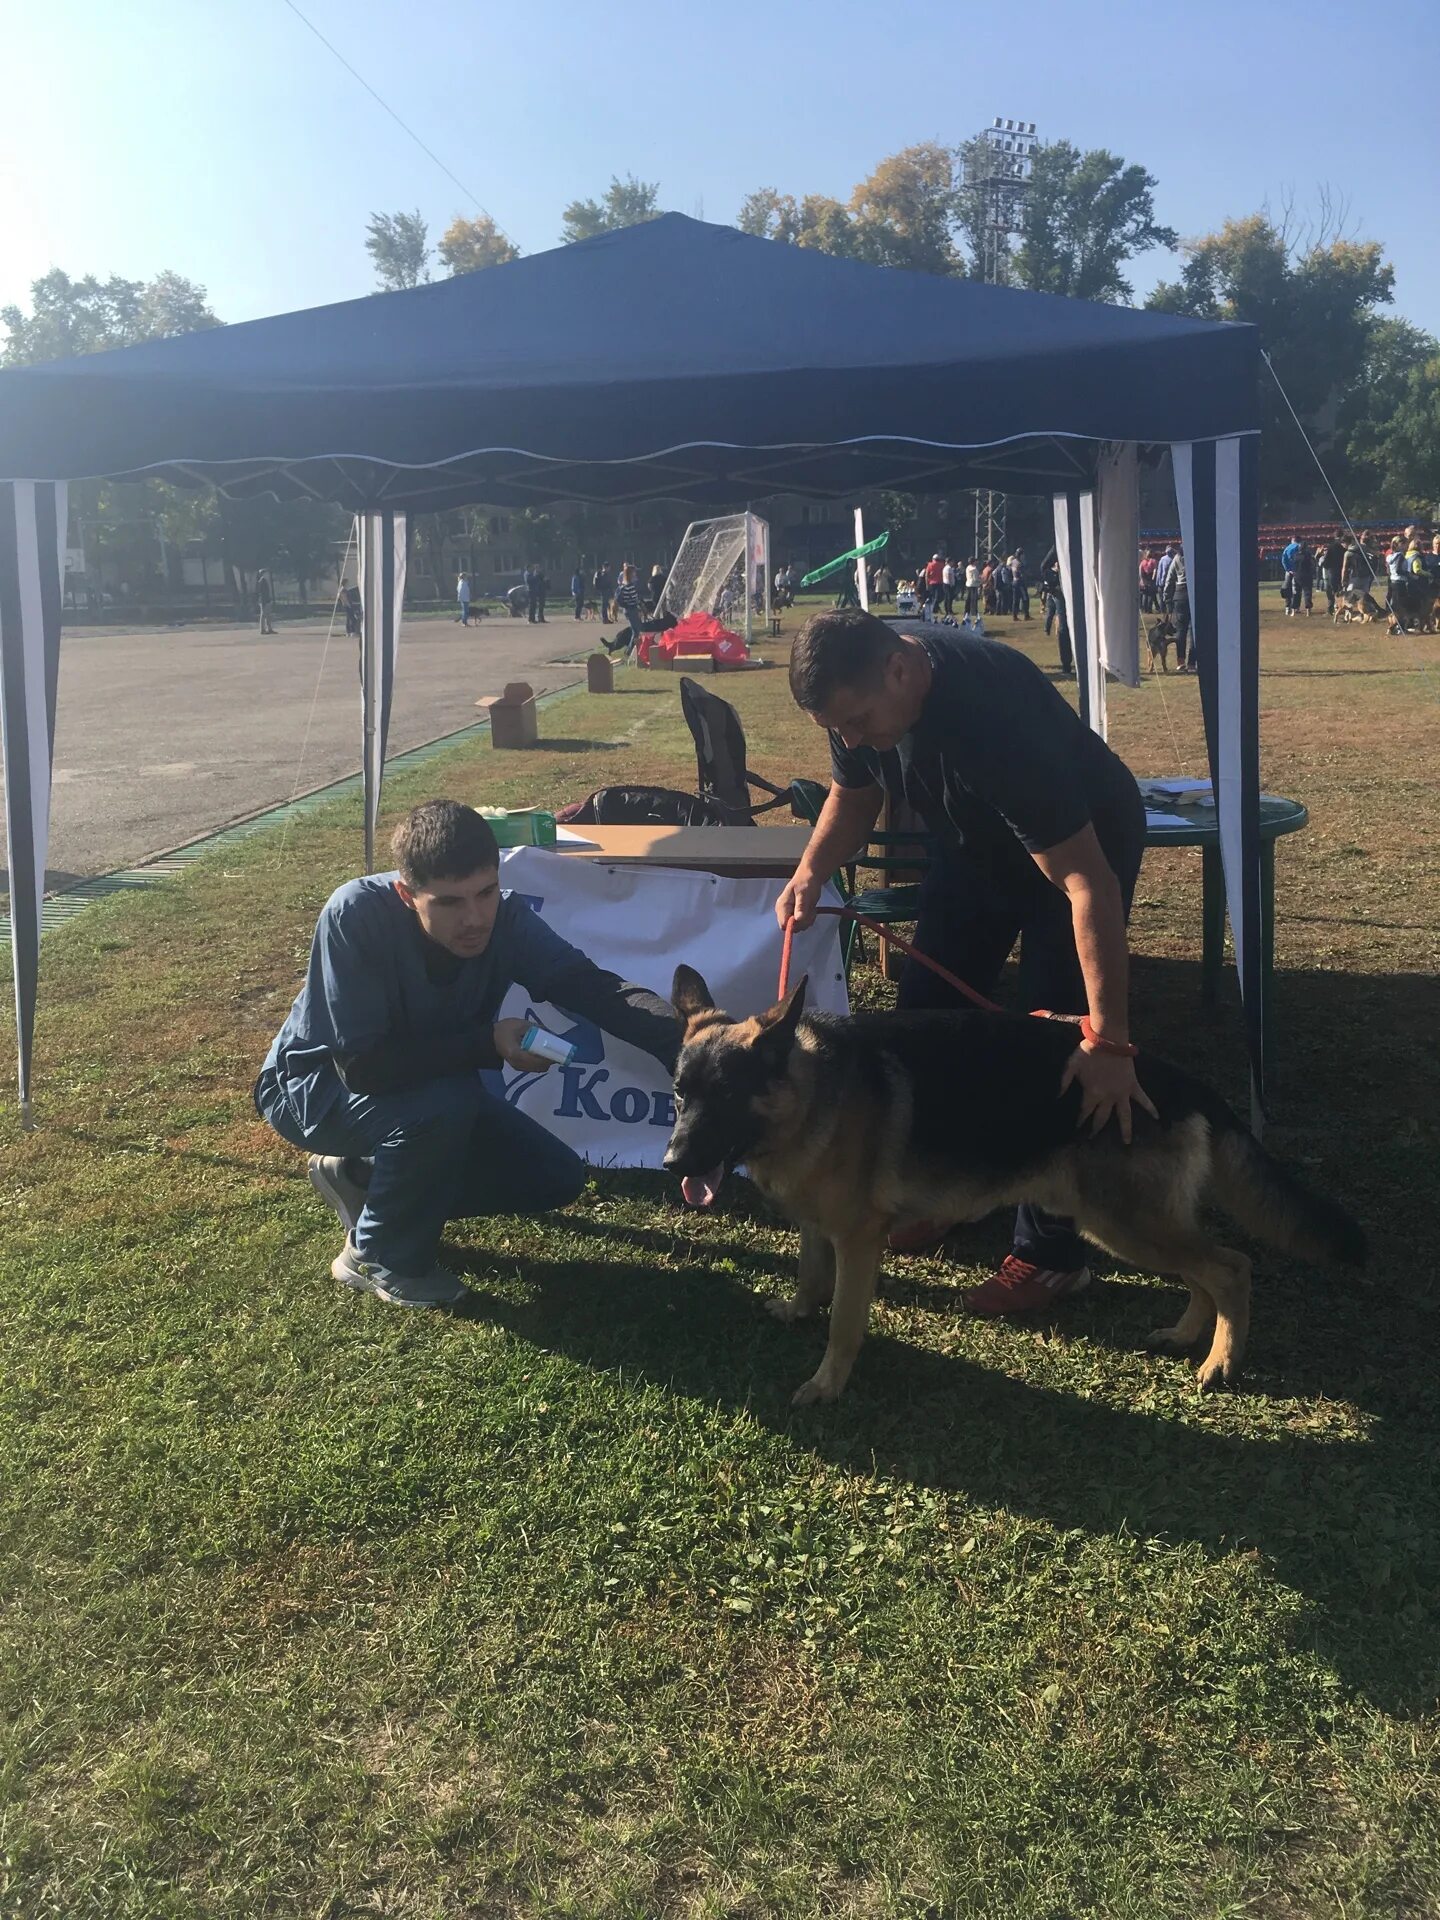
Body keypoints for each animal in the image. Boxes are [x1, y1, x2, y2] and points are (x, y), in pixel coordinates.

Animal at [664, 975, 1367, 1413]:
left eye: (725, 1094)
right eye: (679, 1093)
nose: (673, 1162)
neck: (812, 1092)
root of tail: (1179, 1079)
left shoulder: (860, 1243)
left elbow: (843, 1321)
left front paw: (828, 1383)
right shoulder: (820, 1225)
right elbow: (811, 1275)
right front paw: (797, 1310)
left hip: (1123, 1223)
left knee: (1231, 1267)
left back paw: (1221, 1362)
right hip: (1133, 1224)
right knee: (1206, 1272)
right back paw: (1185, 1335)